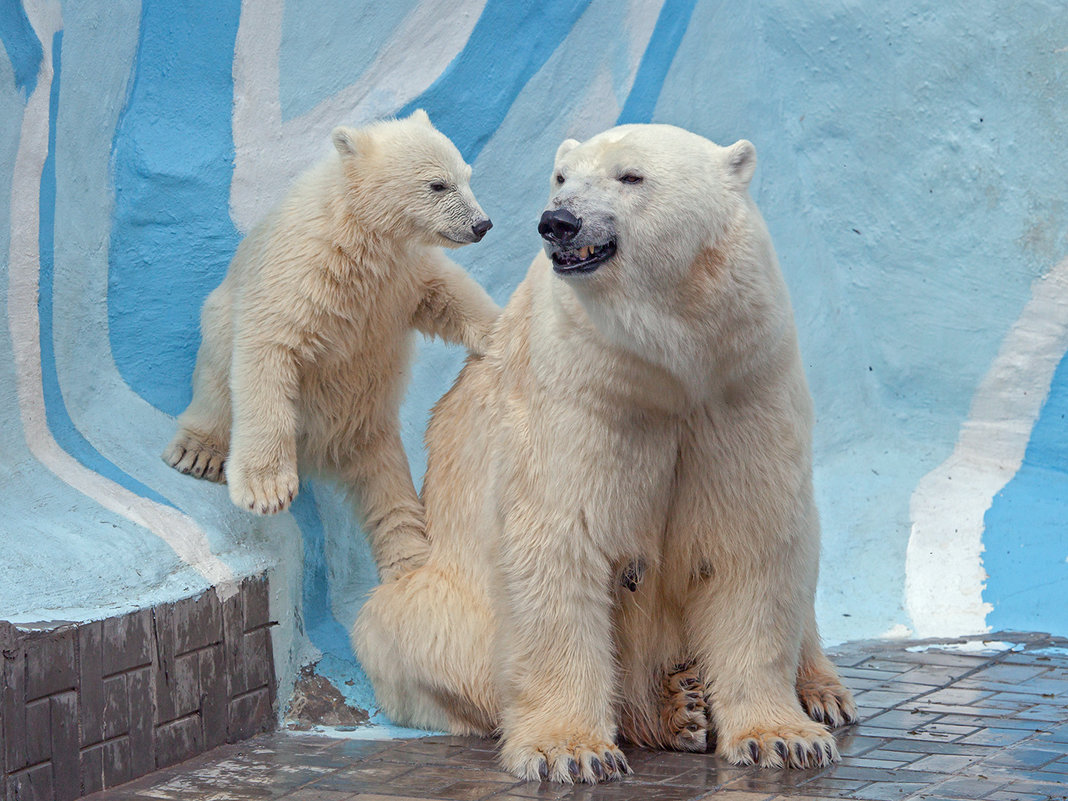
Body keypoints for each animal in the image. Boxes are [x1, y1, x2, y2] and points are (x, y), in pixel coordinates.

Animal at [354, 125, 854, 786]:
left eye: (631, 176)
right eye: (562, 177)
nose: (558, 222)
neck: (668, 361)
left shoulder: (742, 378)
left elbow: (755, 539)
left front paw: (785, 737)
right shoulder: (580, 390)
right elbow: (560, 541)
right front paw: (568, 749)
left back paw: (818, 692)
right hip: (446, 611)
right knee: (403, 626)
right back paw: (676, 707)